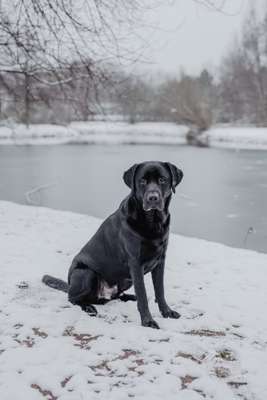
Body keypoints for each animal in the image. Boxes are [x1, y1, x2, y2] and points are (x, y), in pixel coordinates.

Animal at [42, 161, 184, 330]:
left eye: (162, 179)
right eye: (142, 181)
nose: (153, 198)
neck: (153, 221)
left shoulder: (160, 261)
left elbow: (160, 291)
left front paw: (167, 312)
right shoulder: (135, 264)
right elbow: (143, 295)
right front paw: (148, 321)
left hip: (125, 280)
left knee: (114, 297)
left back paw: (129, 297)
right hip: (86, 273)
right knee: (73, 298)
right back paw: (88, 307)